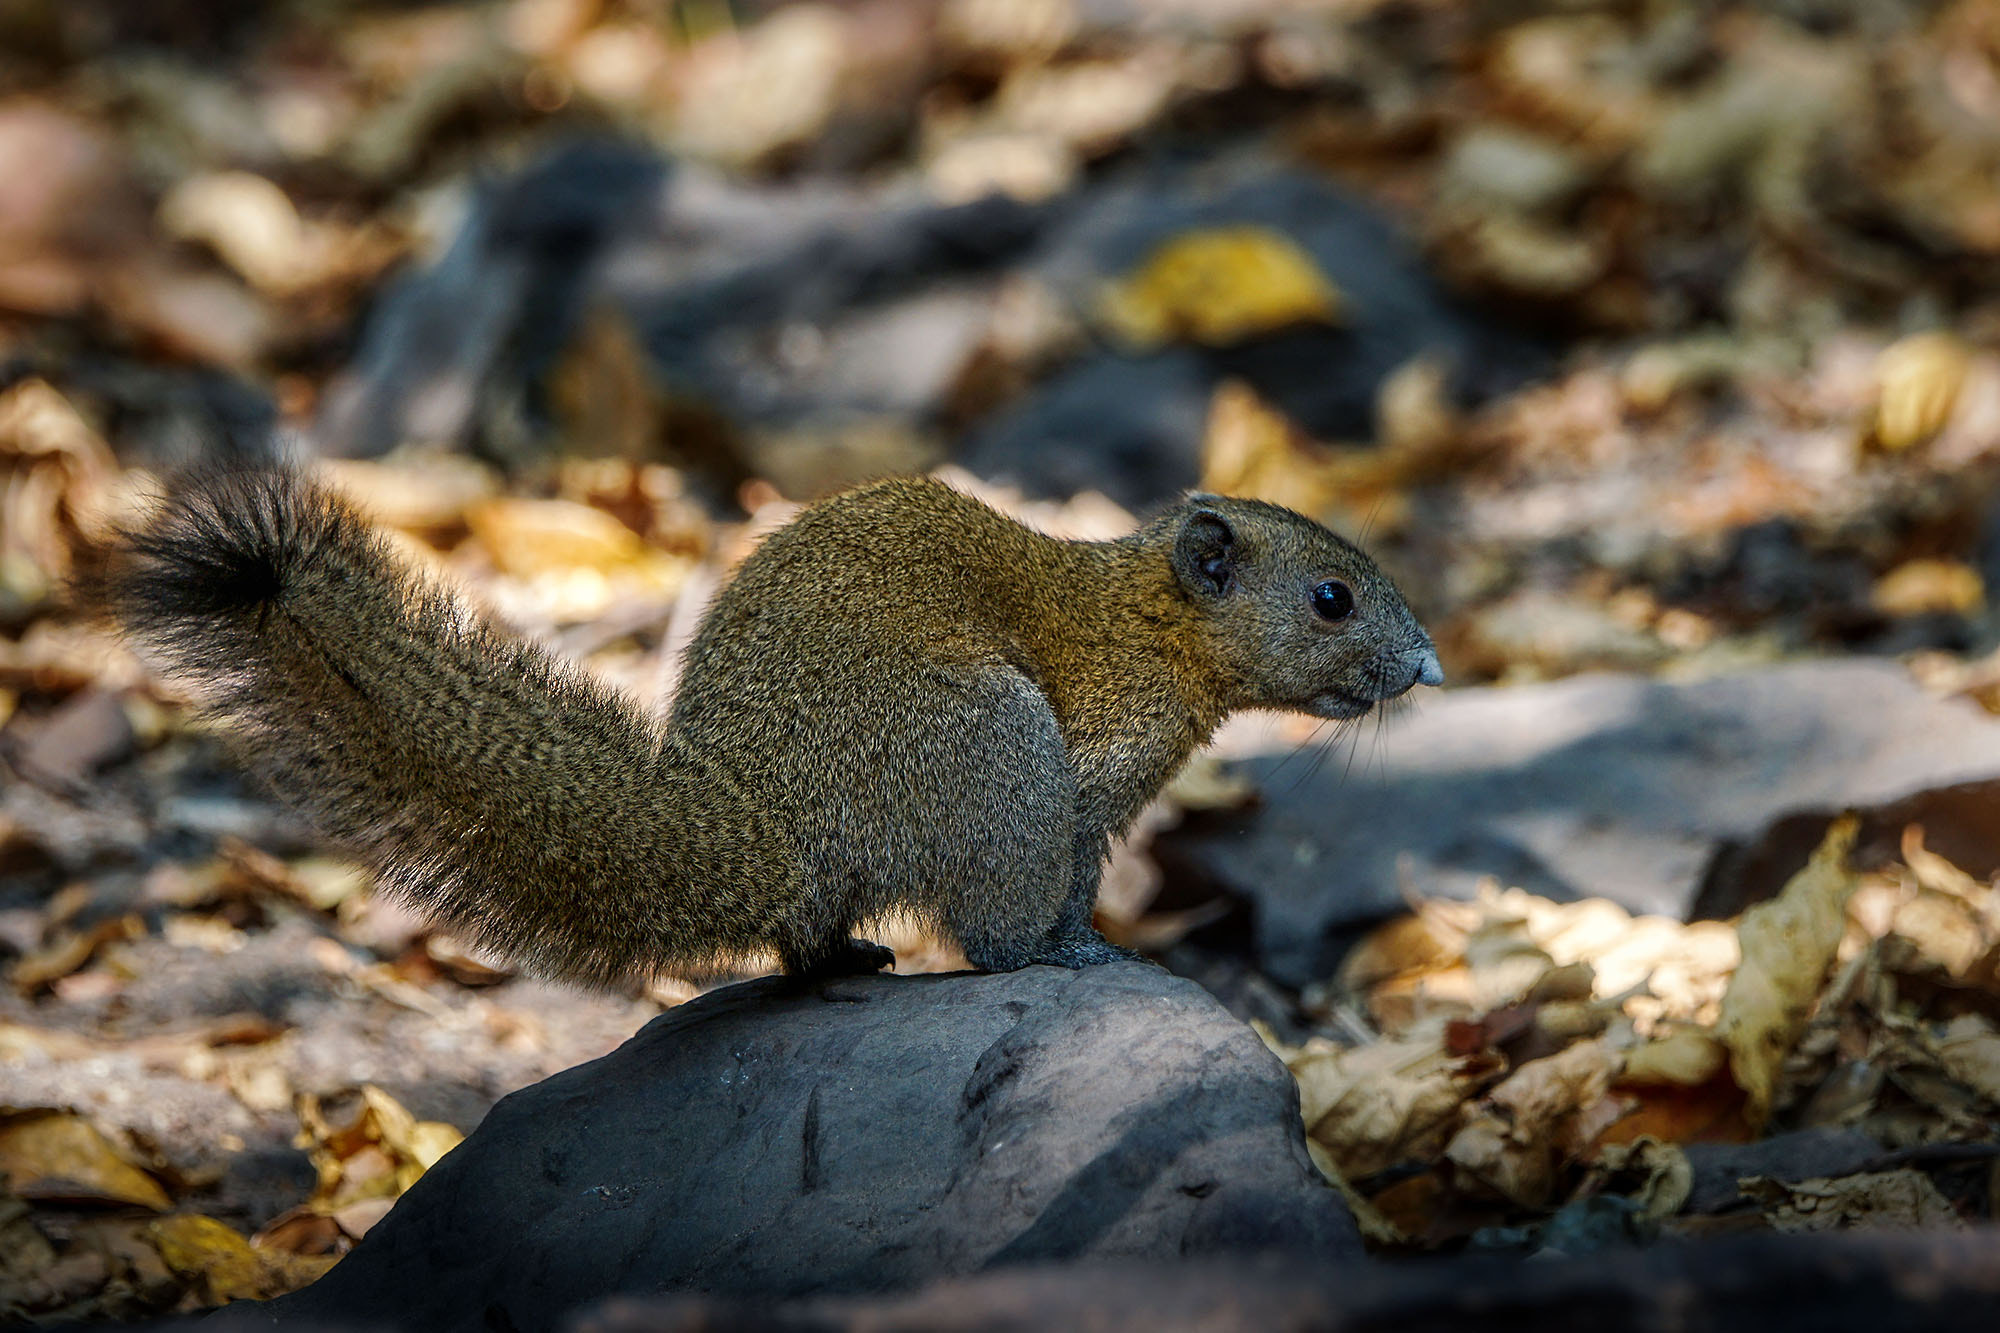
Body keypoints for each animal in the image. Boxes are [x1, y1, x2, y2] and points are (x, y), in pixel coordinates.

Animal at [90, 470, 1440, 984]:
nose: (1427, 663)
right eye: (1330, 597)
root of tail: (773, 828)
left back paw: (842, 958)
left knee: (801, 947)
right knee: (986, 930)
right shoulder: (1085, 778)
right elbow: (1051, 896)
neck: (1148, 624)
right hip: (997, 753)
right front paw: (1087, 951)